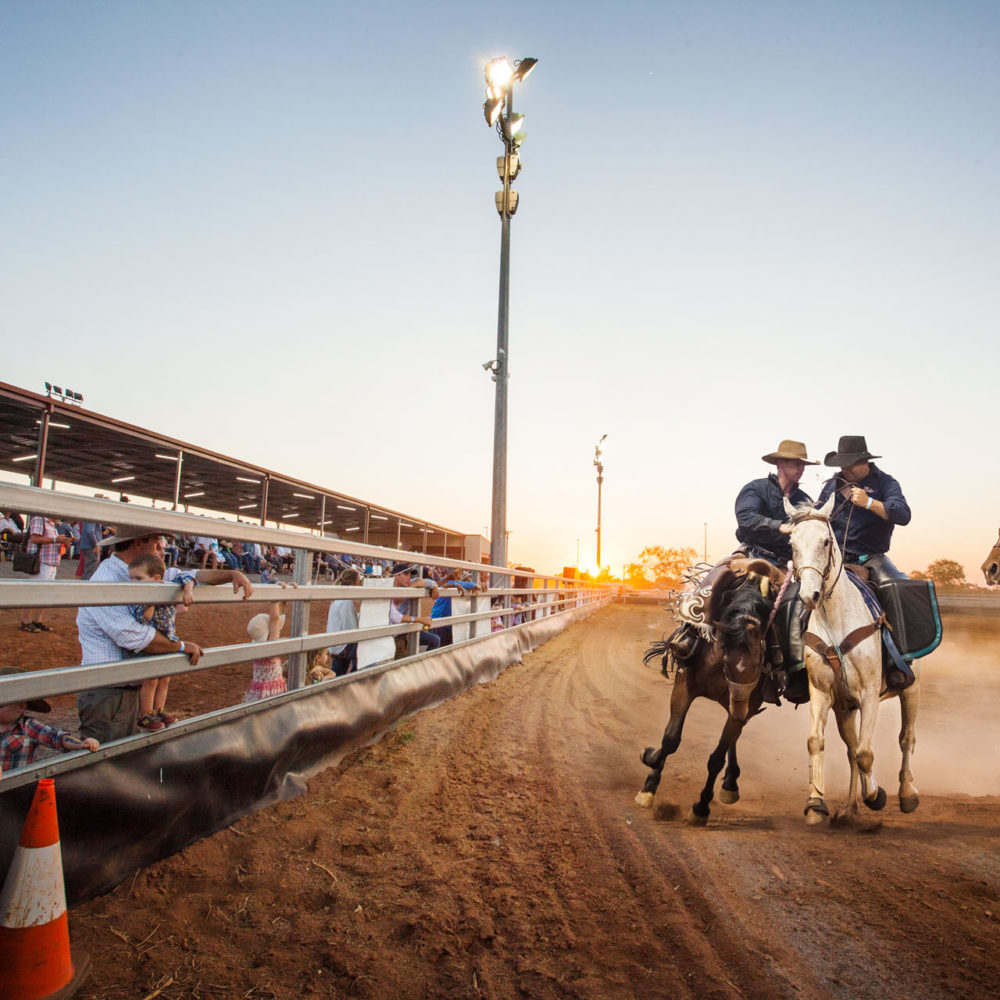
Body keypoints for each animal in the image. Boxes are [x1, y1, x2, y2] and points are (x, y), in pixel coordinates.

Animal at [632, 576, 780, 824]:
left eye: (759, 663)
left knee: (733, 736)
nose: (739, 705)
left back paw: (730, 784)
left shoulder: (745, 705)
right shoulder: (685, 684)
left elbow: (716, 759)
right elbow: (671, 739)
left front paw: (701, 807)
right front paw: (648, 785)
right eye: (727, 661)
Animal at [784, 494, 916, 828]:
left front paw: (876, 795)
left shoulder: (869, 694)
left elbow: (866, 753)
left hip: (912, 689)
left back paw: (907, 793)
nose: (809, 595)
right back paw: (850, 808)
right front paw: (816, 803)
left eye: (826, 541)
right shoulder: (822, 693)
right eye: (792, 542)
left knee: (906, 738)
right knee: (851, 749)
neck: (835, 621)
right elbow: (818, 743)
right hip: (845, 709)